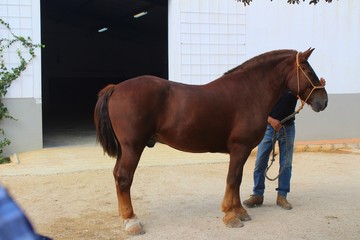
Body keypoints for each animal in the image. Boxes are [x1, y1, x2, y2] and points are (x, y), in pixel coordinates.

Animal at [94, 48, 328, 234]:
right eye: (308, 71)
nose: (323, 101)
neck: (250, 91)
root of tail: (116, 88)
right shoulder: (240, 148)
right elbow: (232, 179)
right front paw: (230, 216)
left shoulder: (242, 151)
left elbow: (237, 179)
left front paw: (240, 211)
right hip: (133, 147)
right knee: (124, 178)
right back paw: (132, 222)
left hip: (125, 149)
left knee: (116, 176)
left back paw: (124, 216)